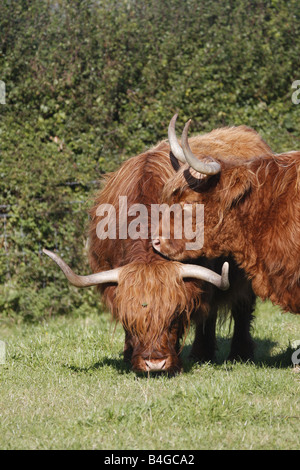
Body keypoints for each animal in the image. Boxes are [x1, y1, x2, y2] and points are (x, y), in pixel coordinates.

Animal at [43, 121, 274, 370]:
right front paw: (128, 356)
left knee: (241, 308)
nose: (155, 363)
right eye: (131, 321)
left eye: (174, 317)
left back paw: (237, 354)